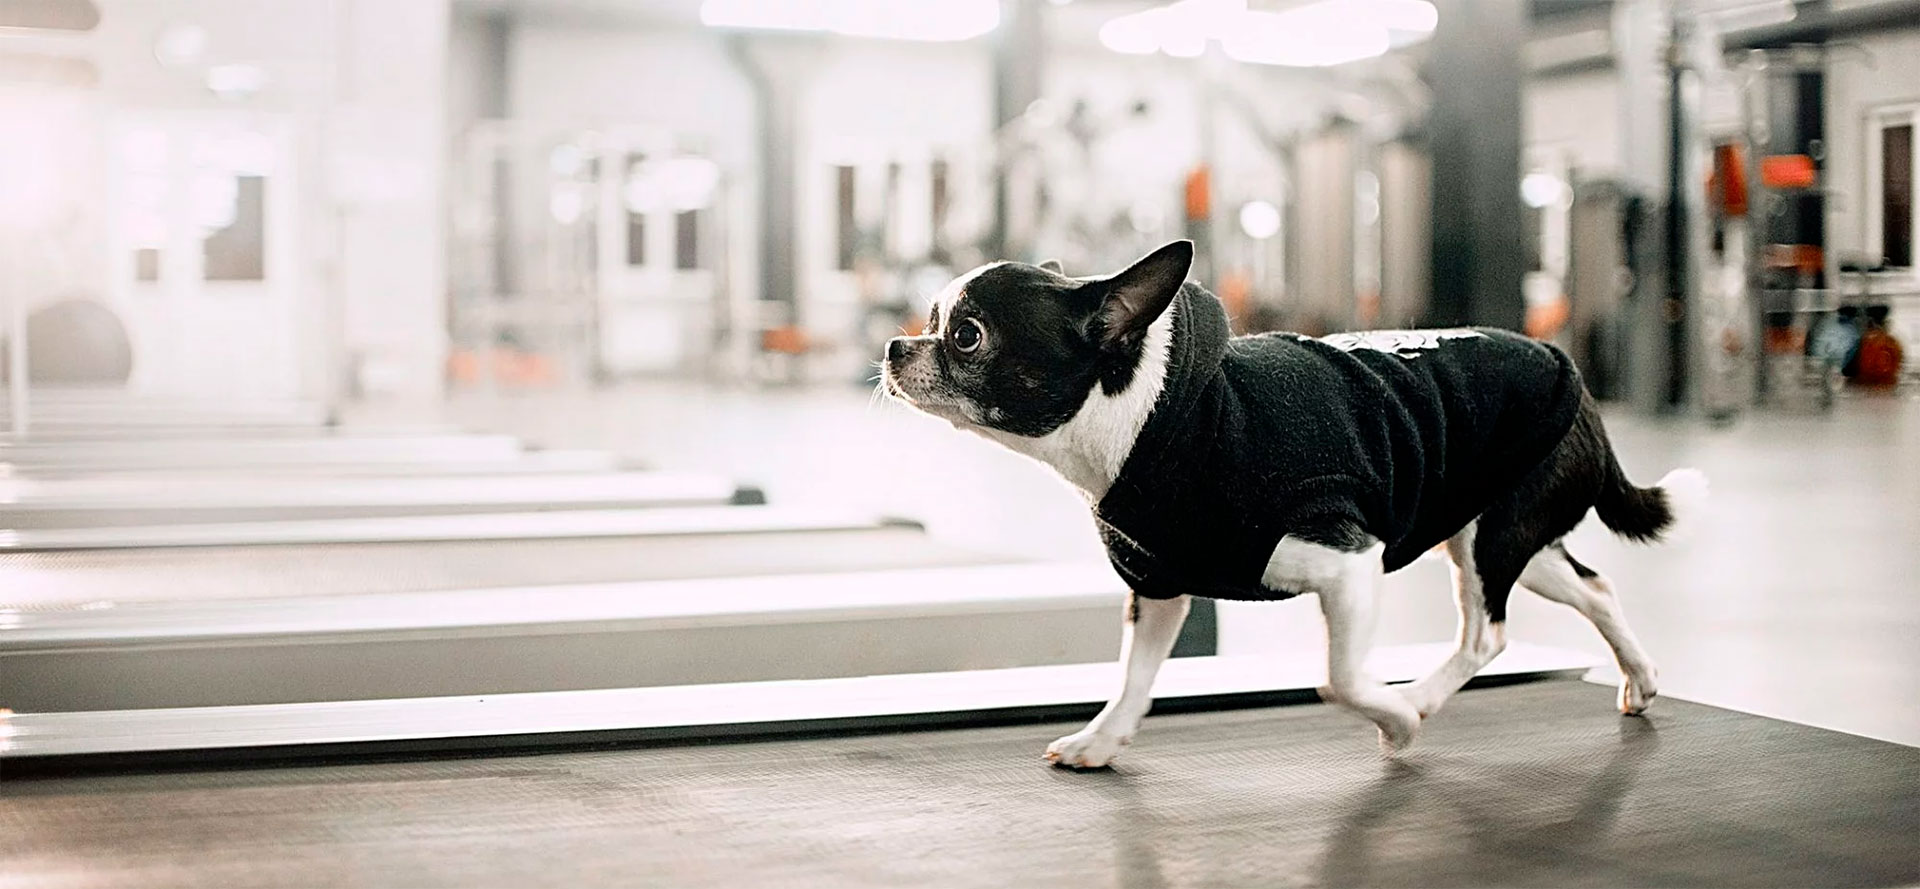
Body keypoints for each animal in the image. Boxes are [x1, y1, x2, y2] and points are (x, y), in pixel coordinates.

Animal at [879, 240, 1704, 768]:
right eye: (930, 319)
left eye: (966, 335)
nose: (895, 345)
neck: (1149, 417)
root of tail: (1575, 378)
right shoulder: (1159, 585)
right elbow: (1134, 675)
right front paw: (1104, 740)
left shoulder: (1349, 560)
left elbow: (1337, 676)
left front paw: (1395, 717)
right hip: (1509, 536)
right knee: (1593, 586)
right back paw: (1642, 676)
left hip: (1493, 538)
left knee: (1485, 635)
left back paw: (1419, 700)